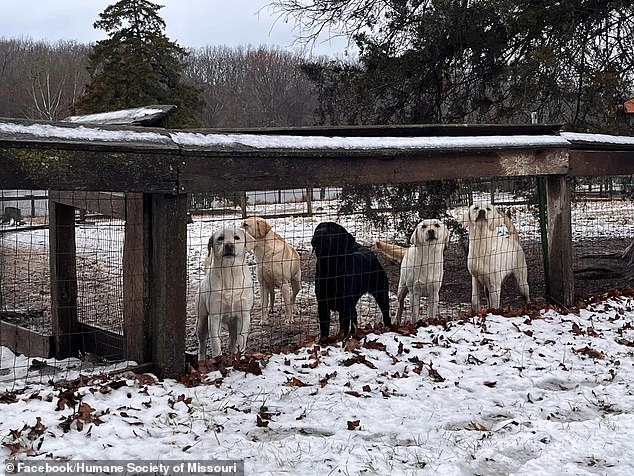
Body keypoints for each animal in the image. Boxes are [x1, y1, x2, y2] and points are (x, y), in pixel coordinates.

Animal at [195, 225, 254, 358]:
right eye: (220, 238)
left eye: (237, 237)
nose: (229, 245)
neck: (229, 272)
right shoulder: (214, 316)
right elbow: (216, 342)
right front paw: (218, 358)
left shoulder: (243, 315)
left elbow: (241, 340)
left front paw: (240, 357)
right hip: (201, 320)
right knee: (202, 343)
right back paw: (202, 359)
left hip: (233, 324)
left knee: (233, 341)